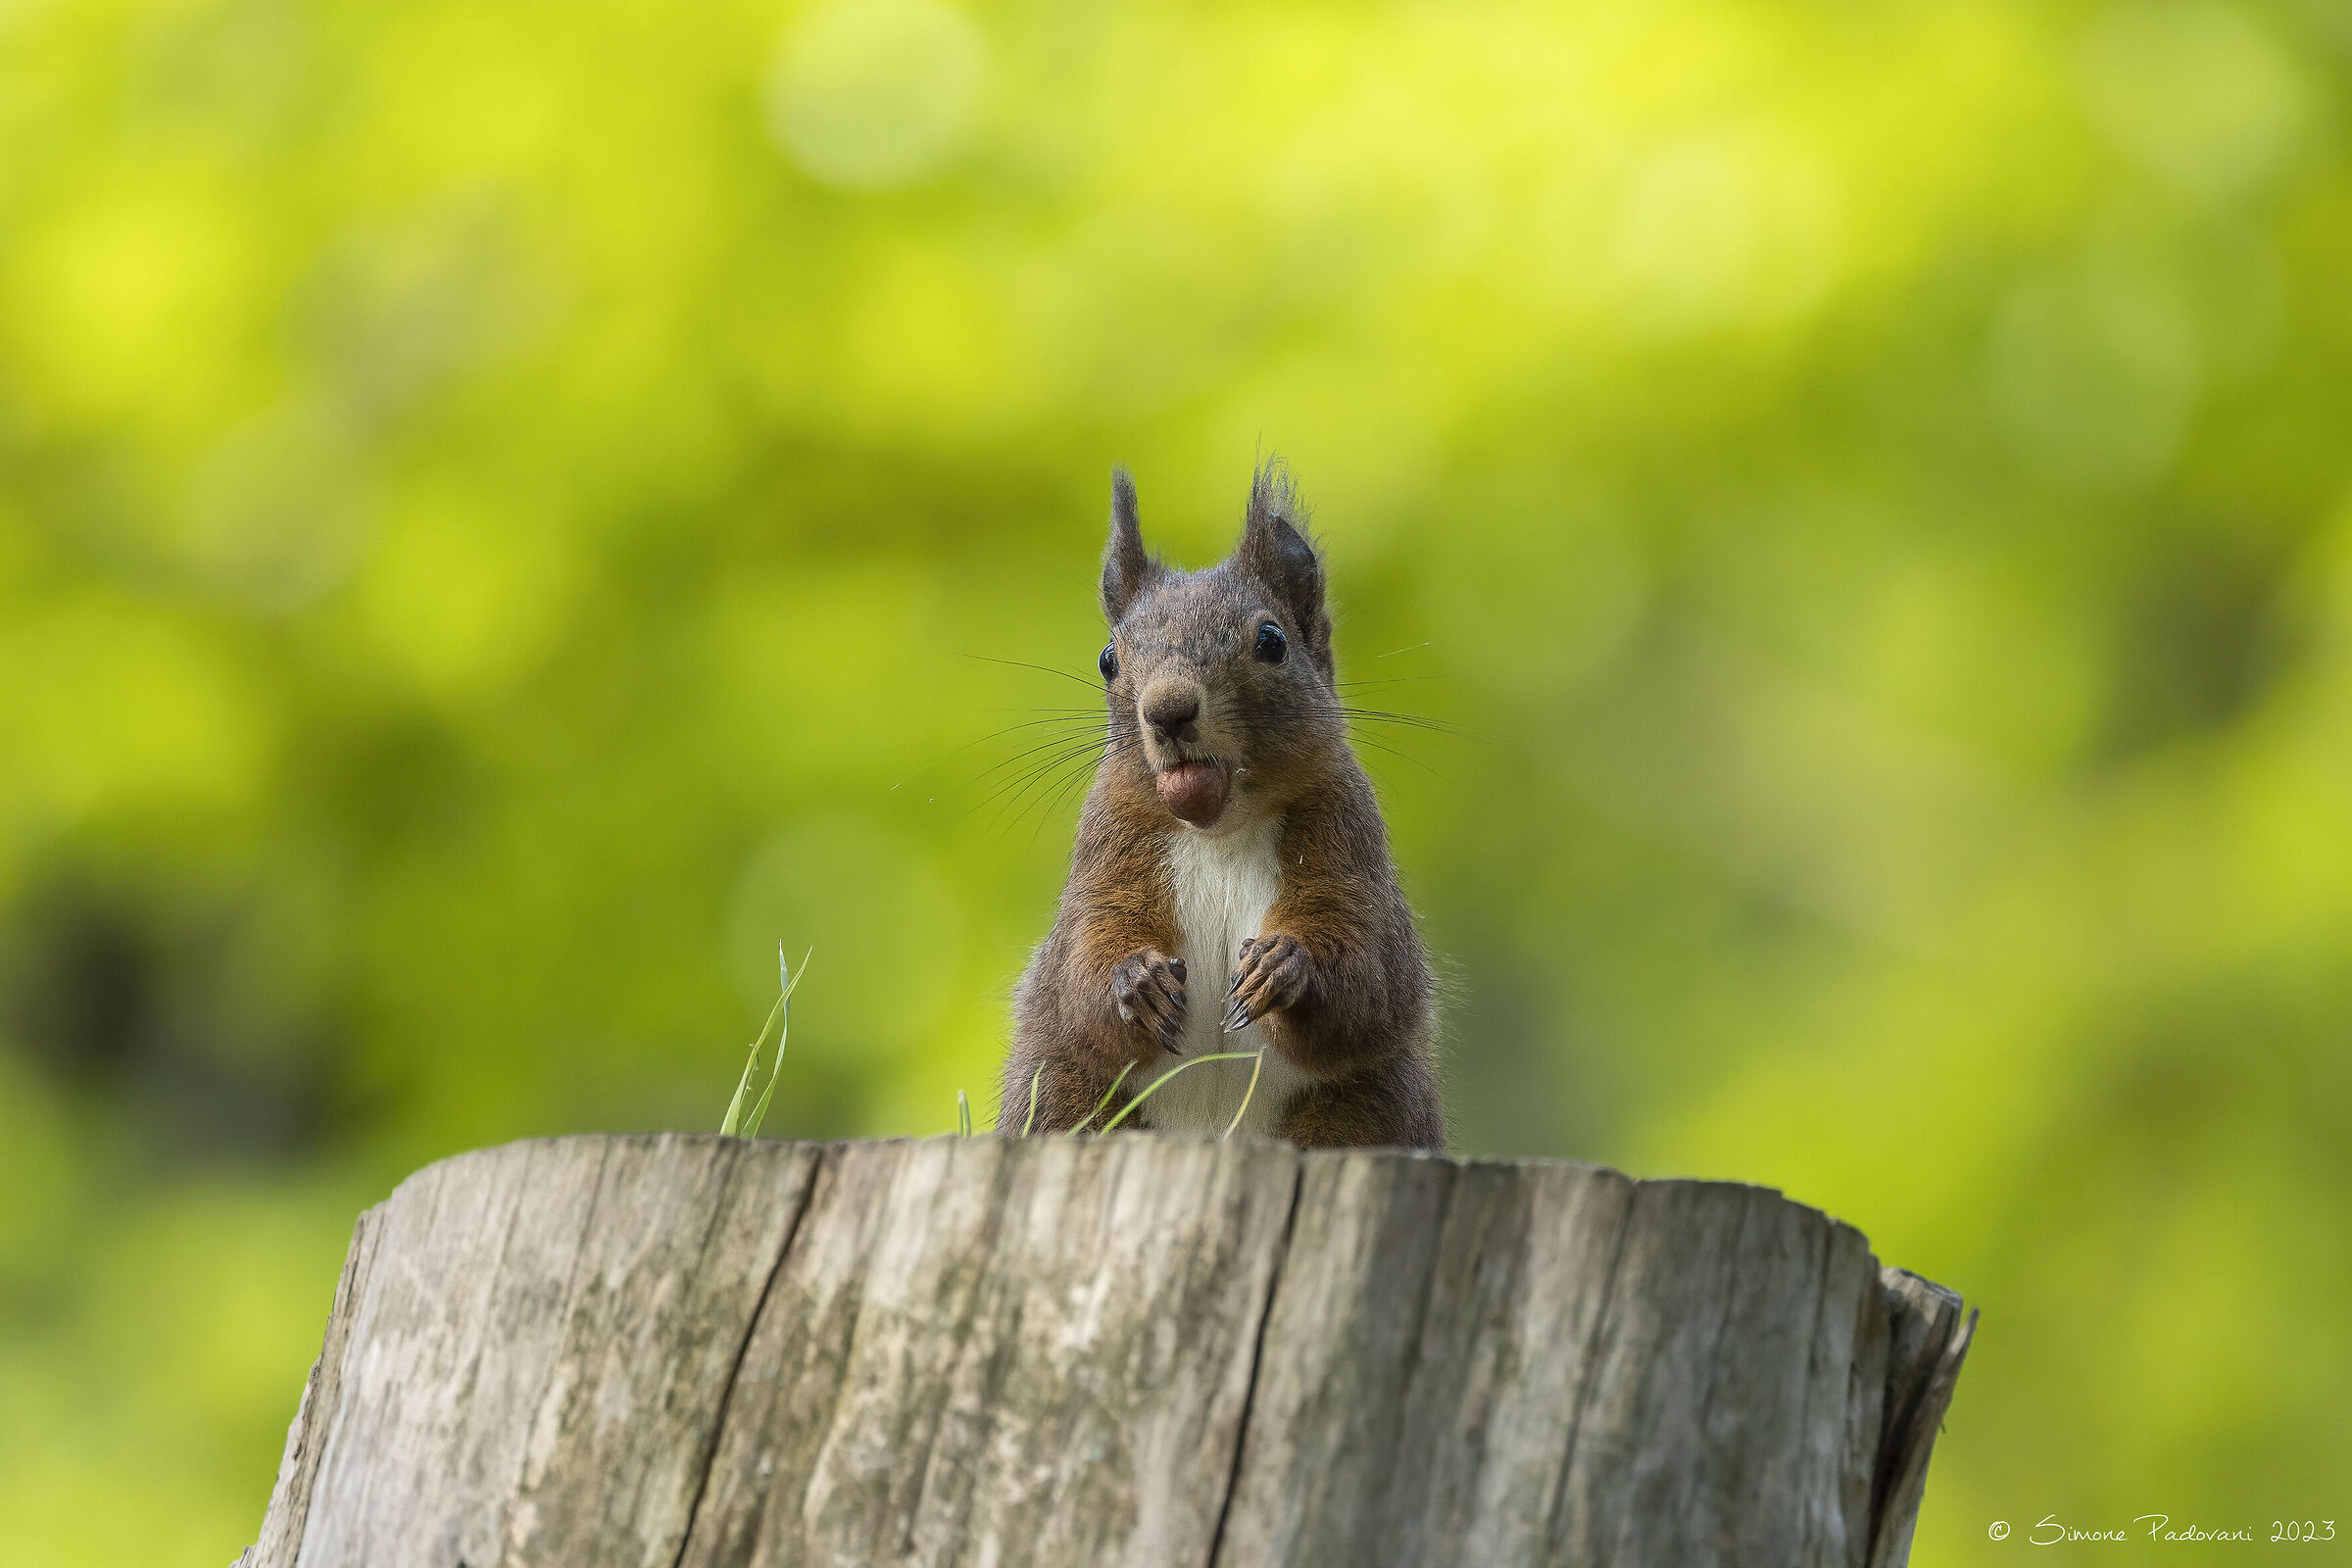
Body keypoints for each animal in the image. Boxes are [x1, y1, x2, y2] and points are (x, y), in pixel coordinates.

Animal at [1000, 462, 1444, 1149]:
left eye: (1272, 641)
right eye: (1108, 660)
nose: (1167, 709)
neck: (1220, 830)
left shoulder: (1347, 838)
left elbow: (1372, 972)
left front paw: (1287, 968)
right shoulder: (1108, 847)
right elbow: (1081, 969)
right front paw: (1135, 980)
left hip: (1369, 1106)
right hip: (1064, 1095)